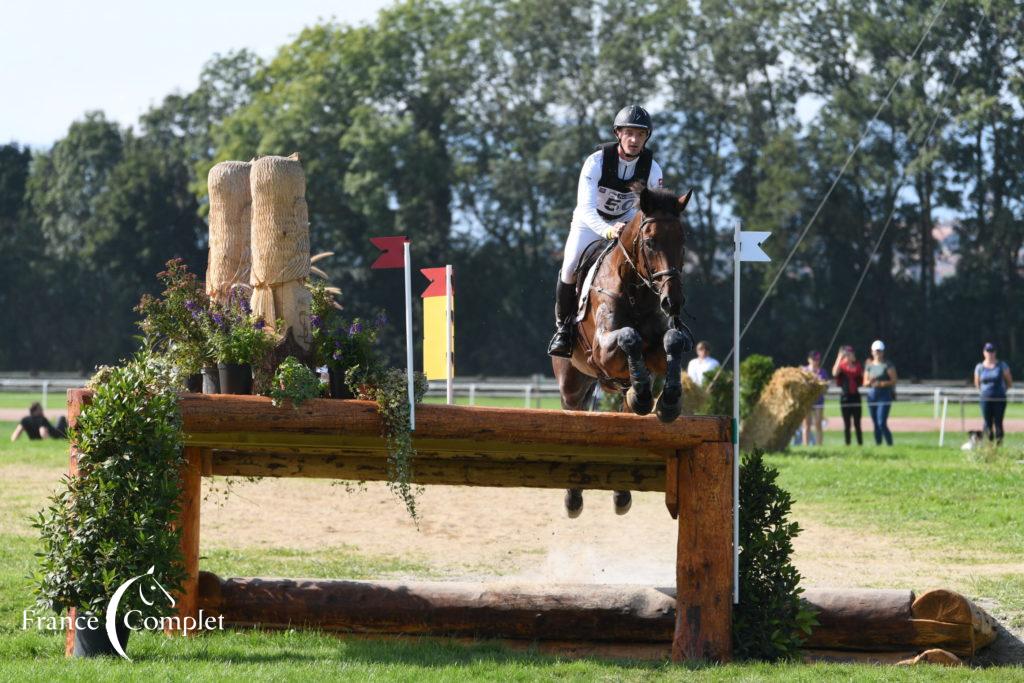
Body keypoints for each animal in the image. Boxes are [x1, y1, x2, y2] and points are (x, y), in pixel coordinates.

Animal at [552, 184, 696, 516]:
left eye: (682, 241)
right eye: (650, 242)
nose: (673, 302)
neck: (635, 290)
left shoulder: (657, 349)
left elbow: (672, 341)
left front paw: (668, 402)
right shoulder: (602, 351)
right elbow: (629, 336)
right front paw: (646, 393)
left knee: (627, 414)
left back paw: (621, 493)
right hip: (572, 384)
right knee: (574, 414)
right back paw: (573, 498)